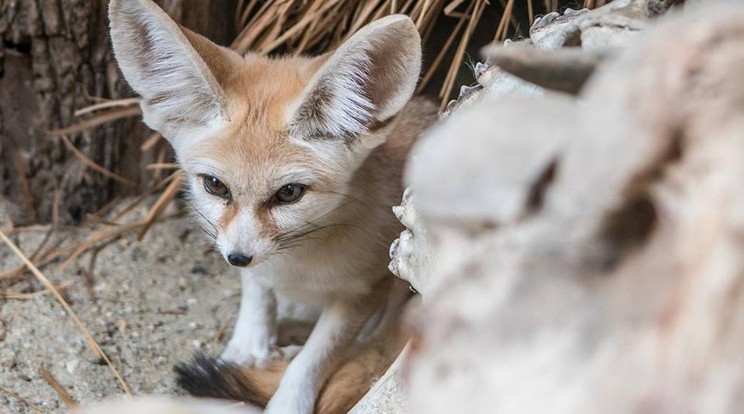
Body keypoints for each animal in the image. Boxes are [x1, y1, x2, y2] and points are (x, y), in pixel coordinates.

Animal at [108, 1, 438, 412]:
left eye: (289, 193)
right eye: (215, 186)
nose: (237, 258)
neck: (297, 265)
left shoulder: (367, 287)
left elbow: (315, 358)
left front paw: (288, 397)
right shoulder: (243, 251)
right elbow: (257, 296)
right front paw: (246, 348)